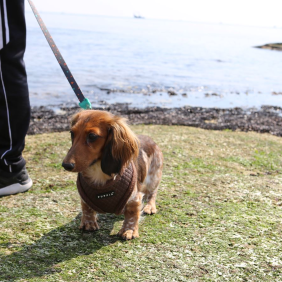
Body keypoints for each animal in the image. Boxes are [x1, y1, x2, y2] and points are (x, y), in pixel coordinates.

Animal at [61, 110, 163, 240]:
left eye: (92, 136)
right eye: (72, 133)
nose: (66, 165)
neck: (99, 173)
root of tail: (149, 139)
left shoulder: (134, 198)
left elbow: (132, 215)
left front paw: (129, 230)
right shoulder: (84, 196)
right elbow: (86, 208)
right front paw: (88, 223)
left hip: (153, 178)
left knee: (152, 193)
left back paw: (150, 206)